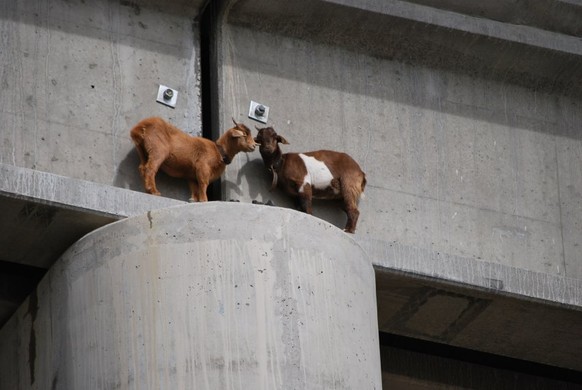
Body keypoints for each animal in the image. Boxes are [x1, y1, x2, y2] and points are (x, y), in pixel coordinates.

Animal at [130, 116, 258, 201]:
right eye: (244, 134)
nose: (253, 146)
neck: (218, 151)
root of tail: (140, 127)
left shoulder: (191, 175)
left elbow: (194, 187)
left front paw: (194, 200)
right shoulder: (203, 167)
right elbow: (203, 184)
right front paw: (204, 200)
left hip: (142, 151)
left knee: (142, 167)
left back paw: (147, 190)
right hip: (158, 151)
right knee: (150, 168)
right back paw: (154, 191)